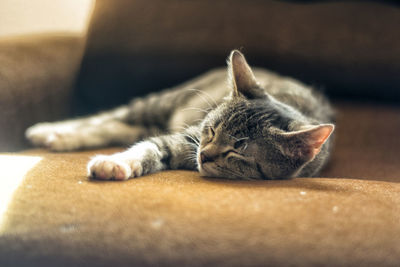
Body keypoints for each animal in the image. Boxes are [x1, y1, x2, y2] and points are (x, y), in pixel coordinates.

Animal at [25, 50, 334, 181]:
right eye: (212, 129)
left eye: (238, 151)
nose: (204, 155)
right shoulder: (190, 137)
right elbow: (150, 146)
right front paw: (116, 162)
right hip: (158, 103)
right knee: (107, 119)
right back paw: (49, 131)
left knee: (118, 127)